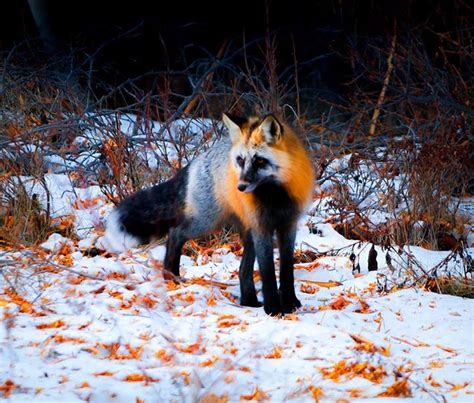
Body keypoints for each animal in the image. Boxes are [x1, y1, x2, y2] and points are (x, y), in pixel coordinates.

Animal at [103, 113, 314, 316]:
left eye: (260, 160)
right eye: (241, 160)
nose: (240, 187)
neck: (276, 197)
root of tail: (199, 157)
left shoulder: (289, 225)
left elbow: (287, 270)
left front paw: (290, 303)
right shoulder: (261, 227)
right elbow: (268, 271)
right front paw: (273, 308)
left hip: (244, 232)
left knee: (242, 270)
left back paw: (249, 302)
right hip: (207, 222)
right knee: (175, 233)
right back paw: (171, 276)